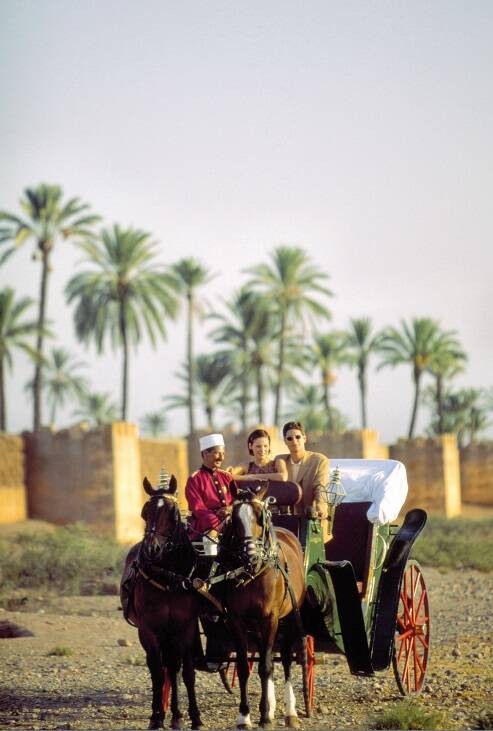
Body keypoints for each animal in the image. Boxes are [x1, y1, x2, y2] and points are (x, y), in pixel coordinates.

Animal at [120, 478, 203, 728]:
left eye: (173, 513)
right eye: (145, 511)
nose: (152, 549)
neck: (168, 577)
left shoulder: (186, 627)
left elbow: (187, 673)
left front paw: (195, 717)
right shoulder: (149, 629)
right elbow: (157, 673)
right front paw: (156, 717)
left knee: (173, 666)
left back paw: (176, 714)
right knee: (164, 668)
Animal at [216, 484, 308, 728]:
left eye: (260, 517)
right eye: (234, 519)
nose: (250, 556)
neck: (253, 574)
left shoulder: (271, 618)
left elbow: (266, 666)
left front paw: (265, 716)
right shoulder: (237, 620)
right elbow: (244, 666)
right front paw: (245, 715)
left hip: (288, 618)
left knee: (284, 658)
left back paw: (290, 711)